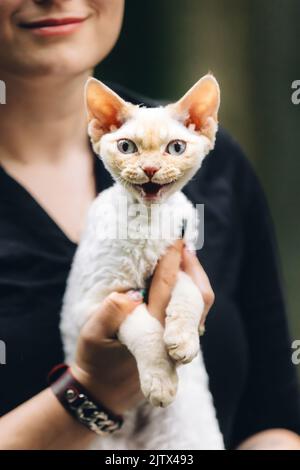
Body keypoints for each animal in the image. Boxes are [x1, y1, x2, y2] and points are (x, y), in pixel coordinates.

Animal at [61, 75, 224, 450]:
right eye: (127, 147)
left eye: (175, 148)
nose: (150, 169)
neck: (147, 223)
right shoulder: (93, 304)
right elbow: (143, 327)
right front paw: (161, 380)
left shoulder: (181, 260)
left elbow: (189, 292)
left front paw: (183, 339)